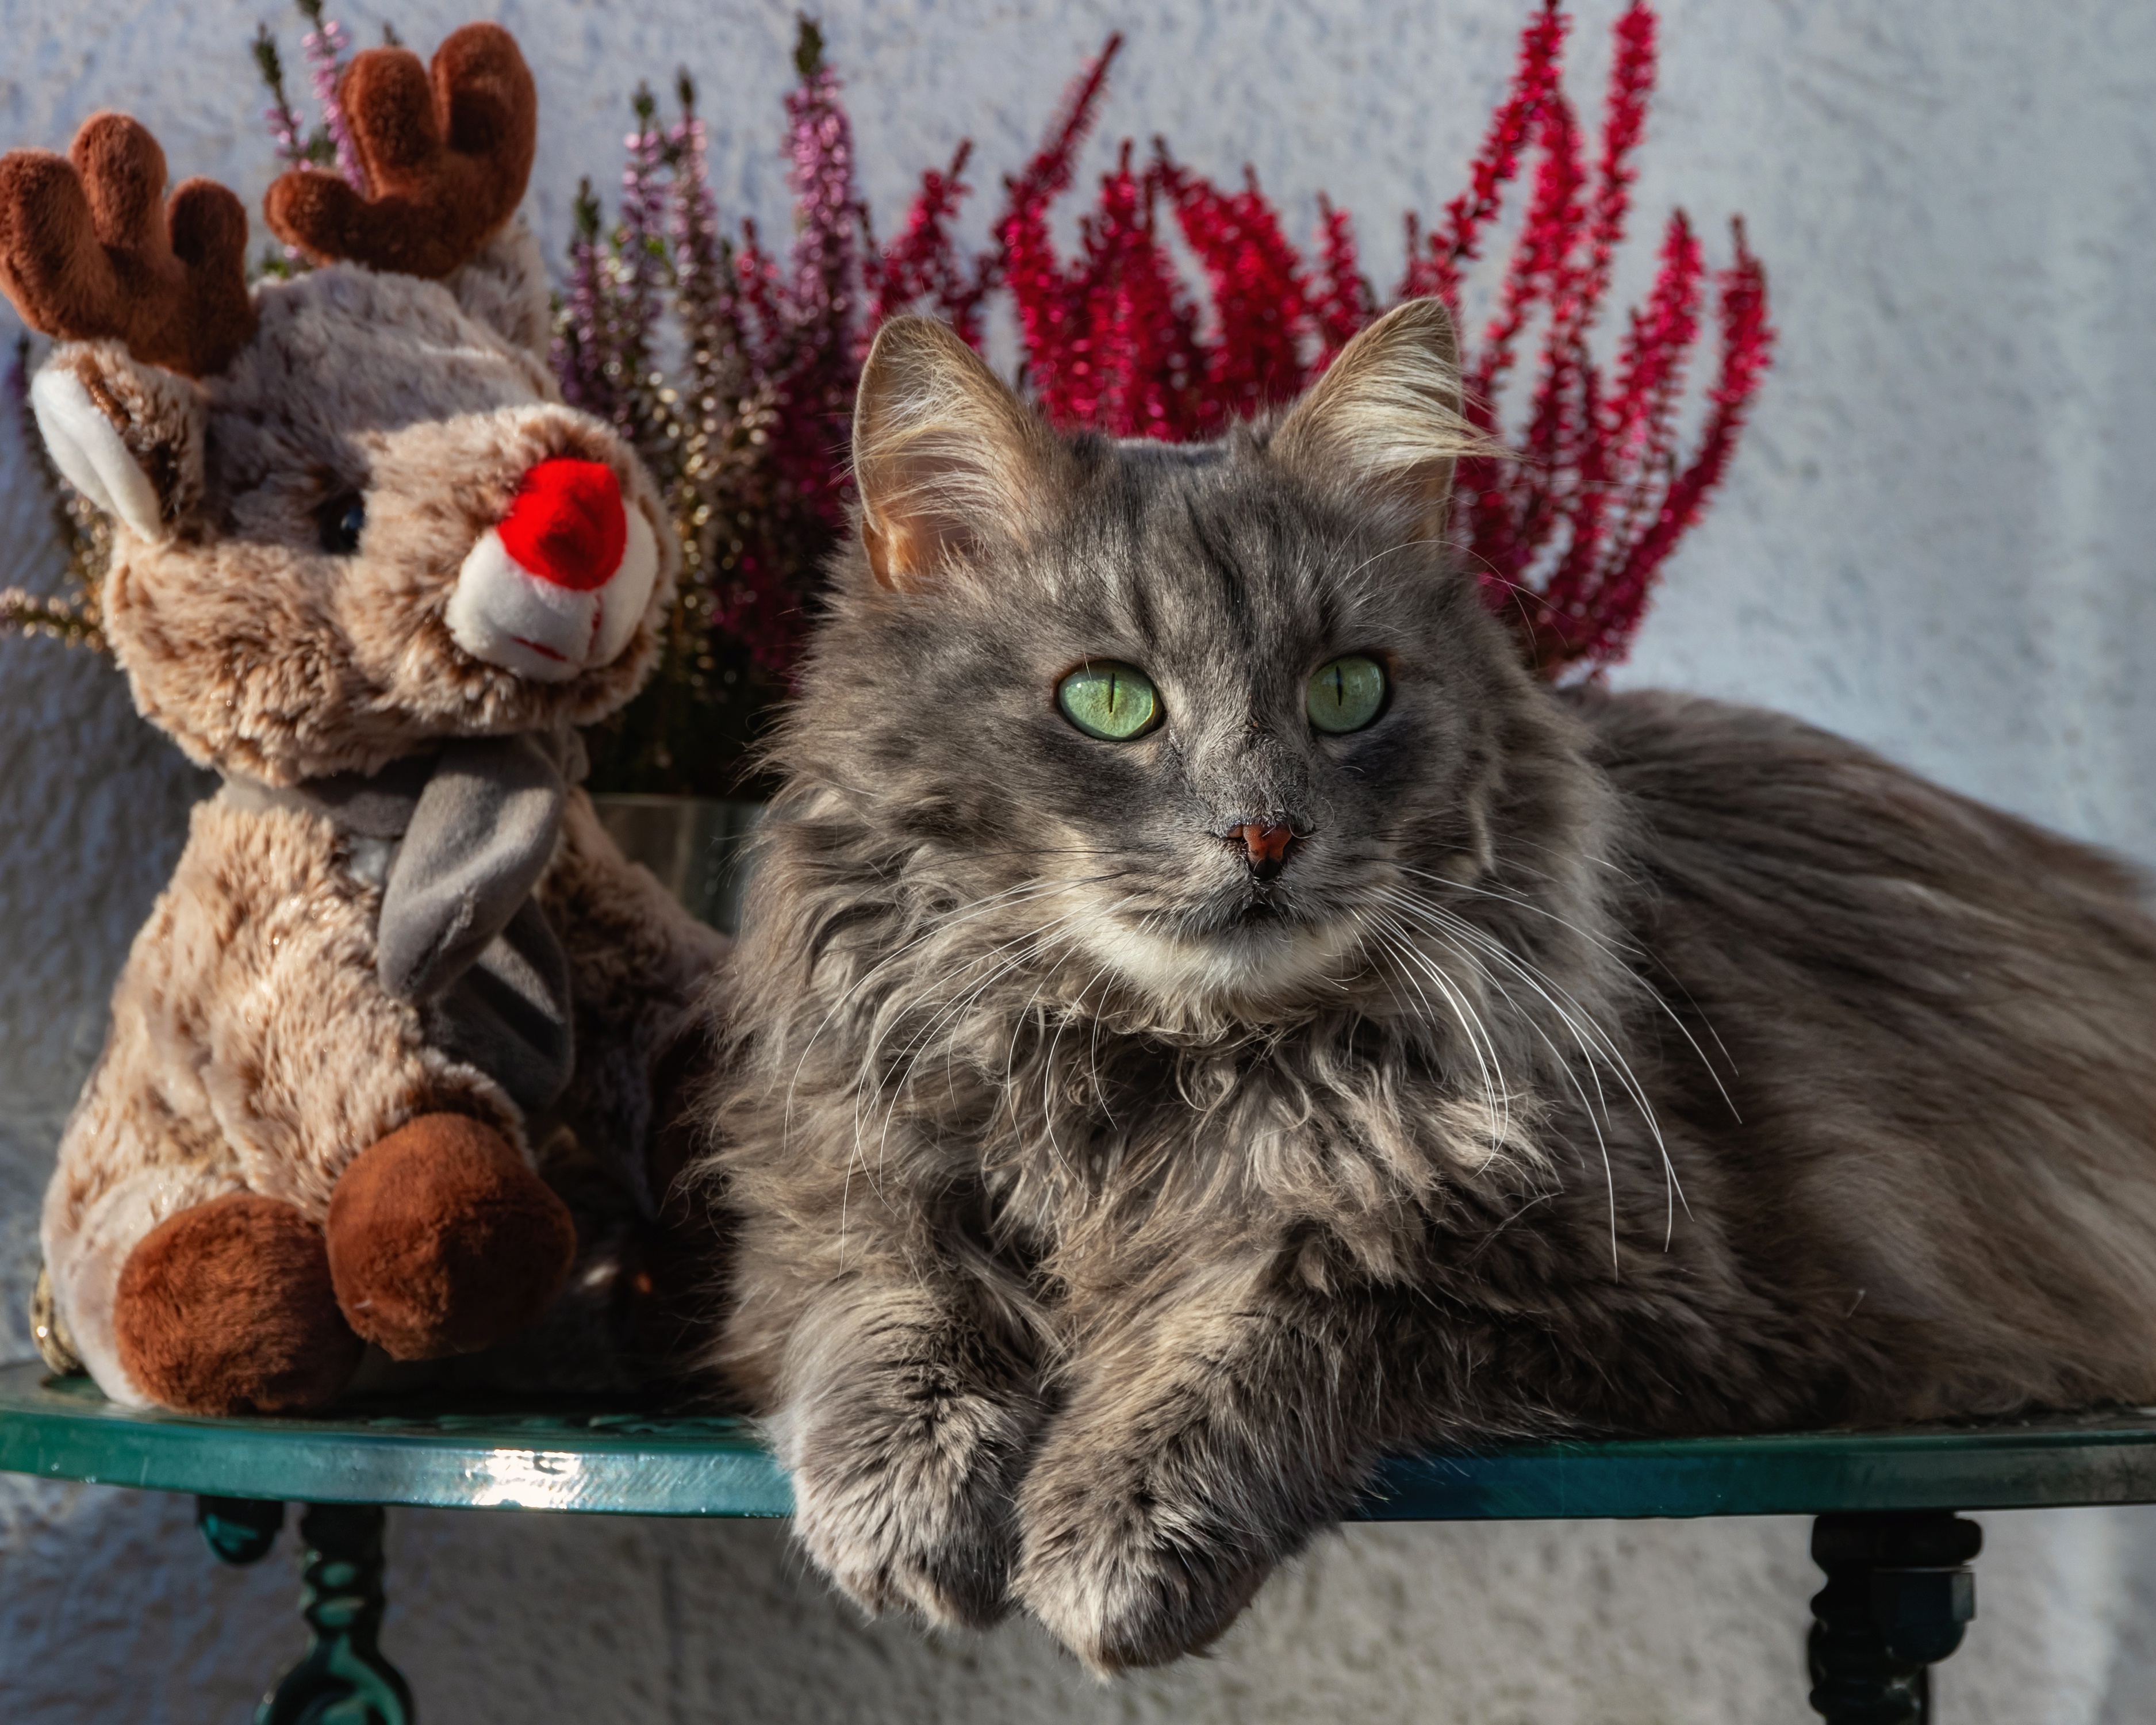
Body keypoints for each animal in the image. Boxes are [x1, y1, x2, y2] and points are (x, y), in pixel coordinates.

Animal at [699, 300, 2156, 1673]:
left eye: (1346, 692)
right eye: (1110, 702)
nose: (1264, 834)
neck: (1162, 1075)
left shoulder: (1642, 1288)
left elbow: (1275, 1318)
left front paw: (1115, 1535)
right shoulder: (842, 1182)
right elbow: (886, 1309)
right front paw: (902, 1511)